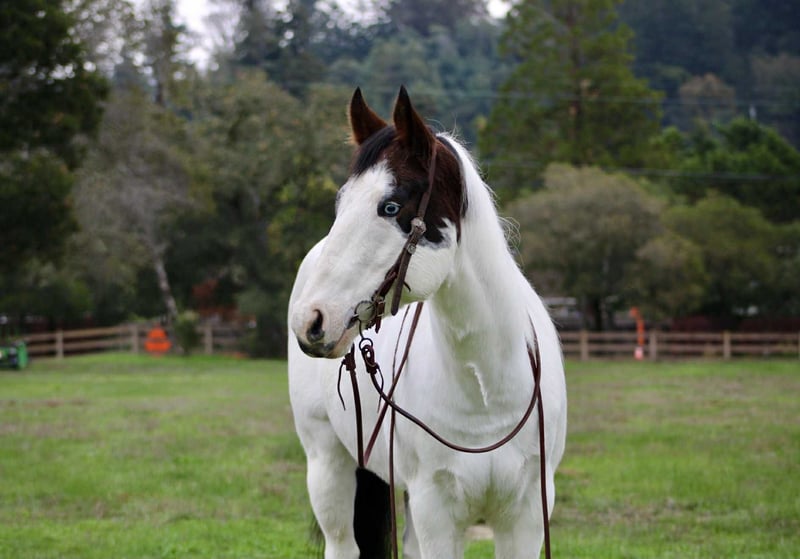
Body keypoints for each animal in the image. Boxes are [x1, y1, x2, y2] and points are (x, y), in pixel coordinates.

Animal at [287, 87, 567, 559]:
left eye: (390, 206)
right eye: (342, 203)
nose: (311, 319)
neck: (486, 390)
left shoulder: (527, 514)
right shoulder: (437, 511)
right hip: (328, 465)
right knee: (342, 542)